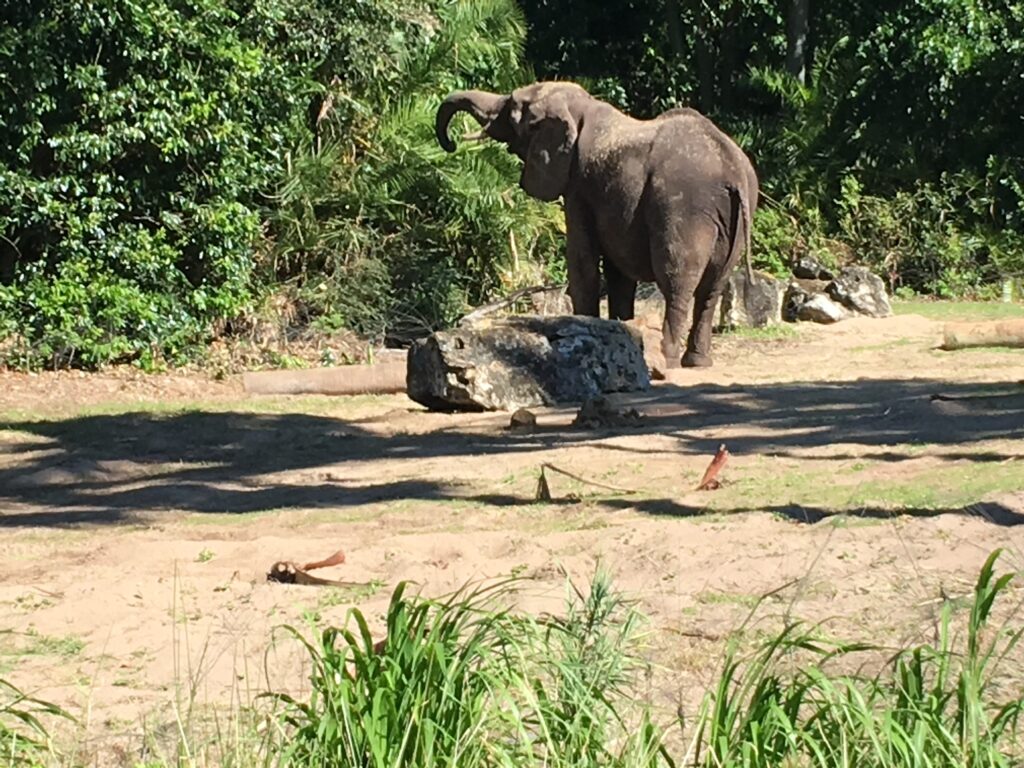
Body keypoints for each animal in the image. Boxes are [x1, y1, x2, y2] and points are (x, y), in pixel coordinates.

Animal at [436, 79, 757, 368]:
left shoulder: (579, 185)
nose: (451, 144)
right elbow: (618, 273)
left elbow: (583, 260)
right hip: (737, 218)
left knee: (676, 279)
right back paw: (697, 362)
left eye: (514, 111)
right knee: (713, 287)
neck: (581, 108)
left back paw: (666, 360)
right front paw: (623, 339)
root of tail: (732, 168)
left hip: (684, 205)